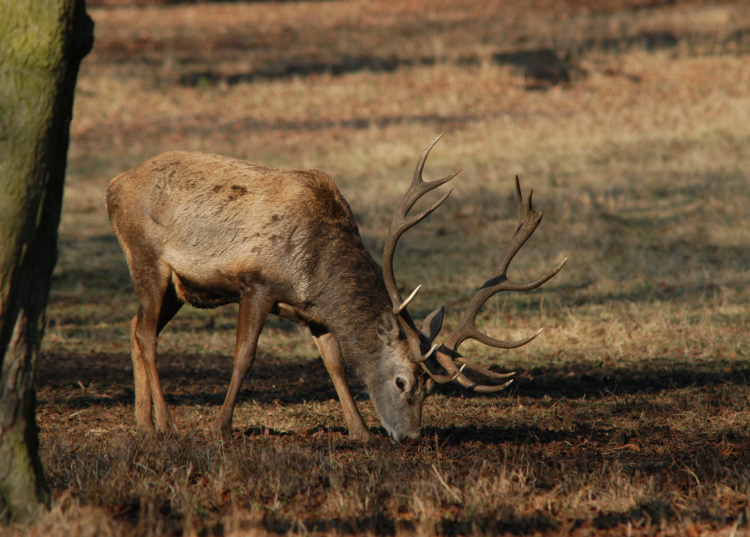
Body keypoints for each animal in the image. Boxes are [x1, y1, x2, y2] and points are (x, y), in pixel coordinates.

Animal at [104, 135, 564, 444]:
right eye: (402, 382)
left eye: (430, 388)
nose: (410, 437)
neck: (317, 270)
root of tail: (112, 188)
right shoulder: (257, 283)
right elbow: (244, 357)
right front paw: (221, 428)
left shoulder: (314, 314)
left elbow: (336, 365)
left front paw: (360, 432)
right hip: (147, 257)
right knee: (147, 335)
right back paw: (166, 425)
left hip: (177, 289)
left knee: (135, 327)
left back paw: (143, 425)